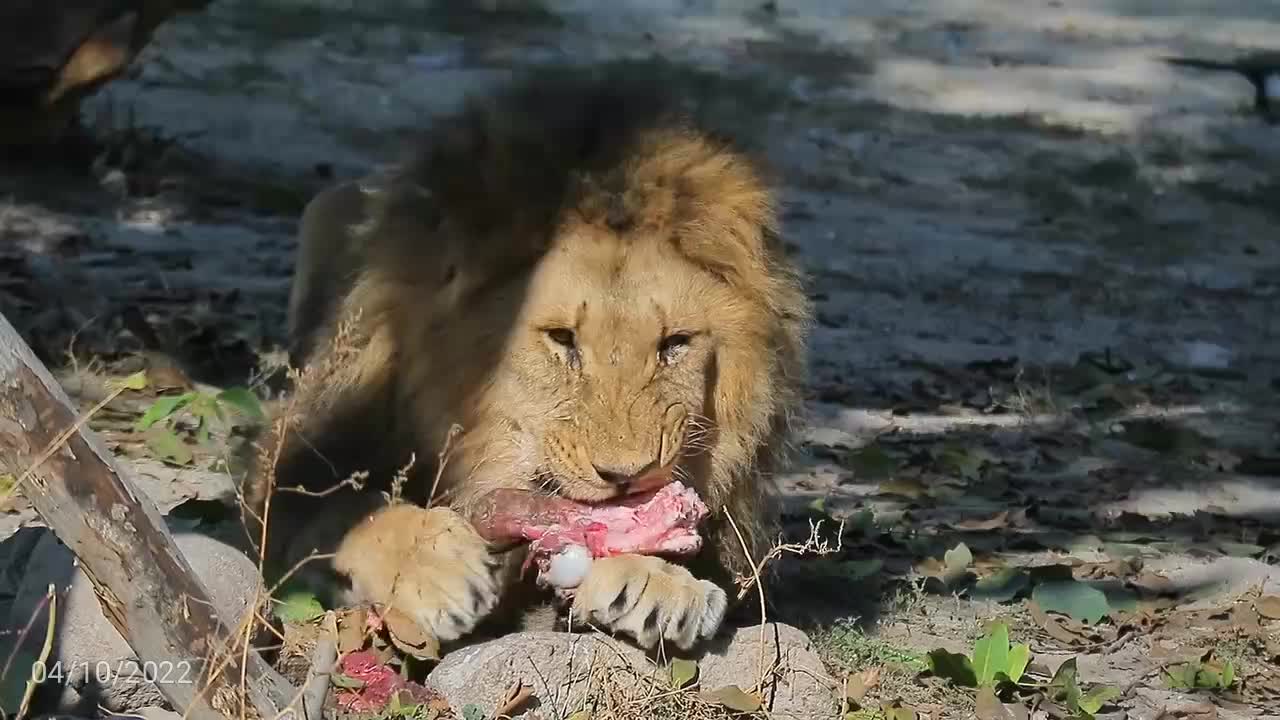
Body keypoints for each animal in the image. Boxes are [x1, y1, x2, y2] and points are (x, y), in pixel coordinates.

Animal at [241, 64, 808, 650]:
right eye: (561, 338)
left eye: (674, 343)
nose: (627, 476)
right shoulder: (294, 462)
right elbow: (347, 509)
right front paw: (435, 567)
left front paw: (657, 581)